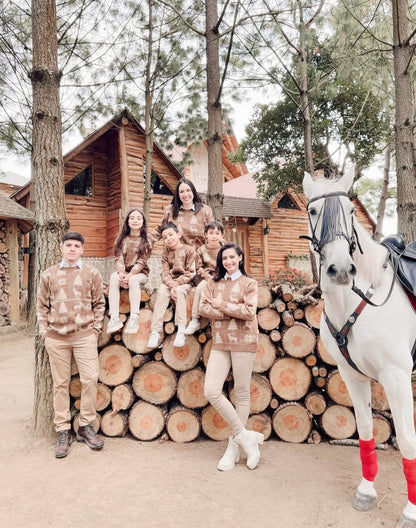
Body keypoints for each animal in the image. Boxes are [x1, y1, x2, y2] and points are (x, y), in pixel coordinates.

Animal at [302, 171, 416, 524]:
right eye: (313, 211)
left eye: (351, 210)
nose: (340, 270)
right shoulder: (353, 376)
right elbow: (365, 429)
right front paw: (366, 491)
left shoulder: (396, 378)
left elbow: (406, 440)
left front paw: (411, 511)